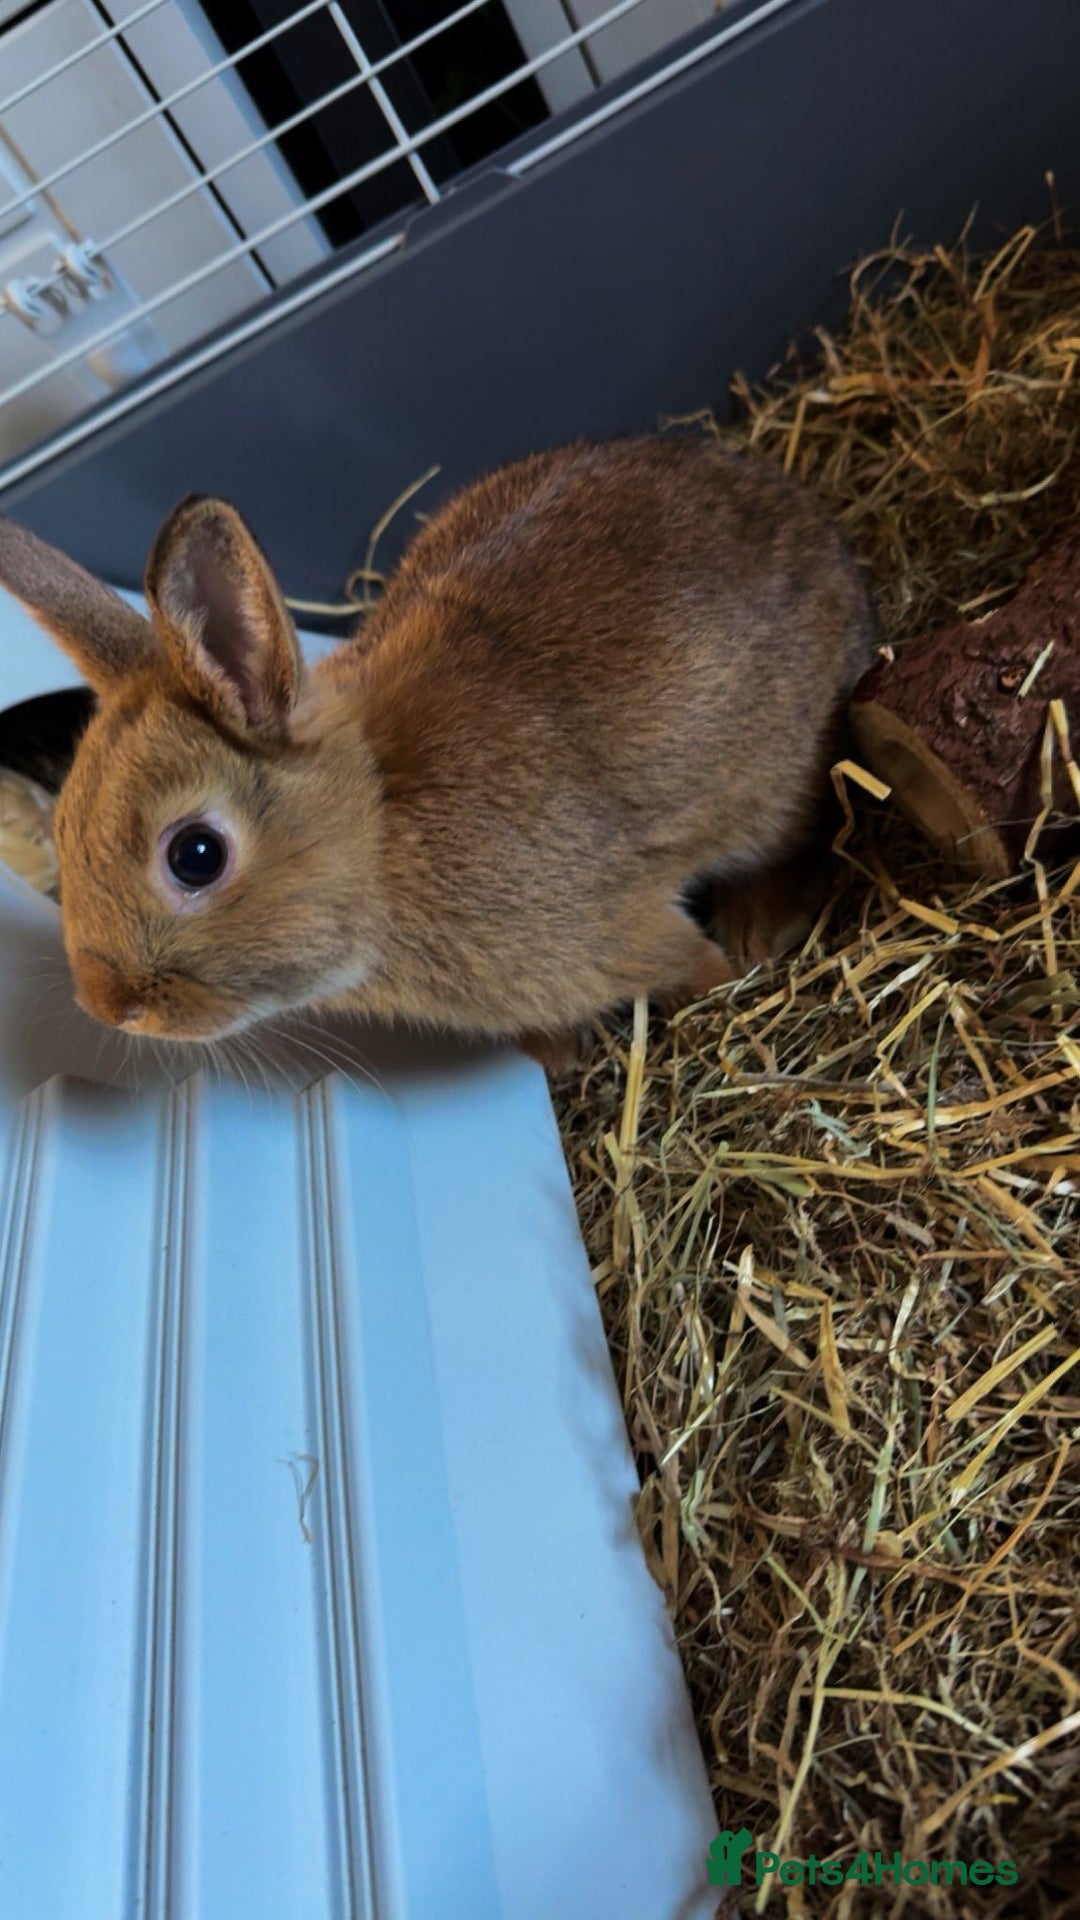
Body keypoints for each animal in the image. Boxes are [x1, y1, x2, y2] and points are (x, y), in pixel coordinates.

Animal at [0, 433, 875, 1071]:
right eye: (64, 830)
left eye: (196, 856)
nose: (110, 1006)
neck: (380, 831)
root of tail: (819, 528)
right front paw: (555, 1059)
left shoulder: (619, 931)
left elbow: (680, 961)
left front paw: (725, 984)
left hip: (777, 787)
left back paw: (757, 931)